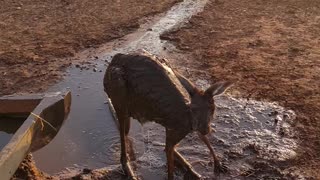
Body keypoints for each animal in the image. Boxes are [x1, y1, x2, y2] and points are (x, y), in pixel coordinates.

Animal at [104, 51, 231, 179]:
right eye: (193, 109)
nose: (205, 129)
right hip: (118, 88)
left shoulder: (190, 125)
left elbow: (203, 139)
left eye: (212, 109)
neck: (187, 116)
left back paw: (190, 168)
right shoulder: (184, 126)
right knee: (123, 134)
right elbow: (170, 161)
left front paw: (218, 164)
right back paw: (130, 171)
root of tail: (115, 59)